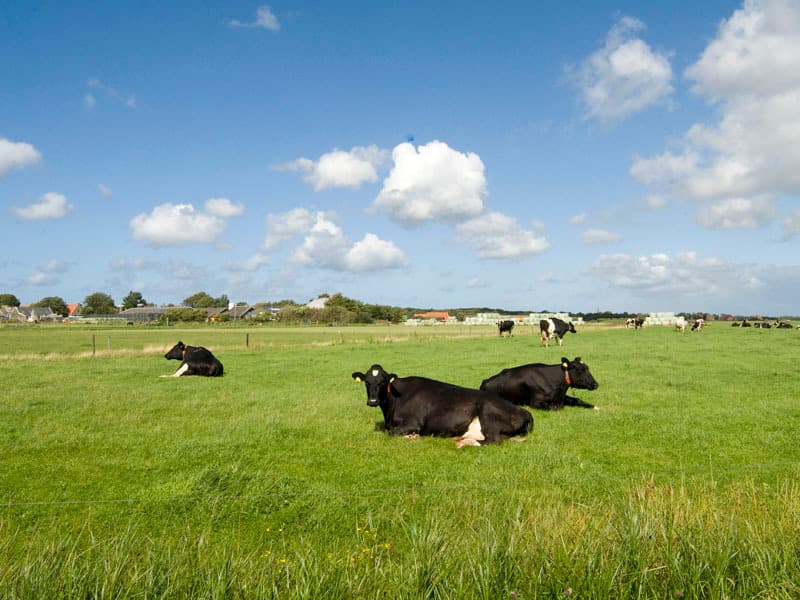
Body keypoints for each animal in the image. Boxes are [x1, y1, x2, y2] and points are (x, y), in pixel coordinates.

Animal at [351, 364, 533, 448]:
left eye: (382, 382)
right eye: (367, 382)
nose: (372, 401)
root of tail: (523, 410)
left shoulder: (413, 423)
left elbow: (392, 433)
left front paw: (412, 437)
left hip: (488, 412)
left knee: (493, 440)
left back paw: (462, 443)